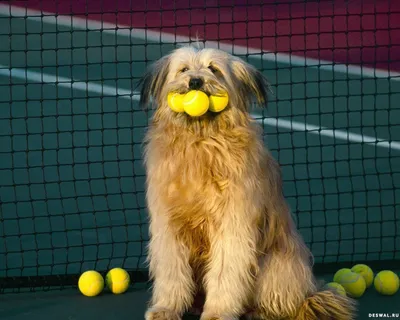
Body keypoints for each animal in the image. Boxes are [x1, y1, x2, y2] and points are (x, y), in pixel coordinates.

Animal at [138, 45, 356, 320]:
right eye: (184, 69)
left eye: (214, 69)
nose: (195, 81)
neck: (201, 140)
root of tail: (310, 293)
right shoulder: (168, 225)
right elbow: (171, 270)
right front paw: (166, 308)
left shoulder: (233, 224)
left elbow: (226, 270)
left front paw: (218, 312)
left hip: (276, 265)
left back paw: (259, 311)